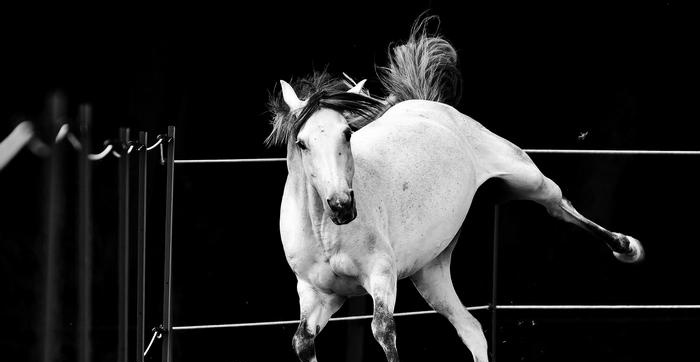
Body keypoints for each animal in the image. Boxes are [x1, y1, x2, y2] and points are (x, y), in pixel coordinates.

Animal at [266, 17, 640, 362]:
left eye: (347, 133)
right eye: (302, 143)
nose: (343, 206)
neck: (325, 232)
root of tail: (426, 103)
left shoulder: (381, 277)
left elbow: (384, 332)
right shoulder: (318, 294)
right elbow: (302, 341)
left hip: (526, 177)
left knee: (561, 206)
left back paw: (627, 247)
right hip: (431, 272)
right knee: (471, 328)